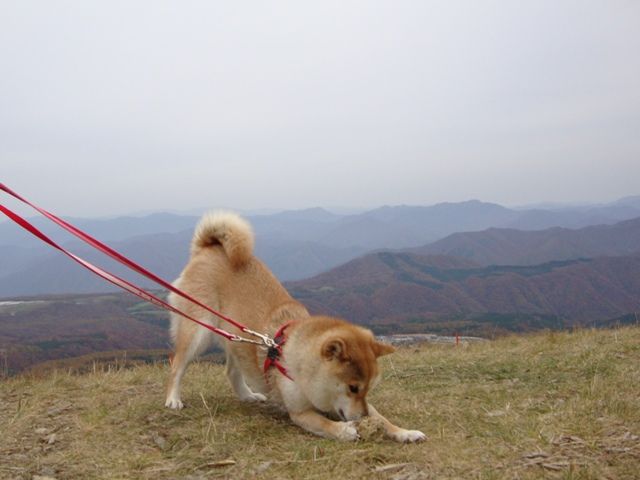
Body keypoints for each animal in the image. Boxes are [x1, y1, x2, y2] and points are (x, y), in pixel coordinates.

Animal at [165, 212, 426, 442]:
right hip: (197, 331)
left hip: (236, 339)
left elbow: (383, 418)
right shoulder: (300, 413)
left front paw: (405, 432)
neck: (297, 362)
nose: (362, 418)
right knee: (177, 364)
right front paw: (344, 430)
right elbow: (324, 423)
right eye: (353, 388)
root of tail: (208, 248)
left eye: (368, 389)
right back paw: (173, 399)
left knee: (232, 370)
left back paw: (248, 396)